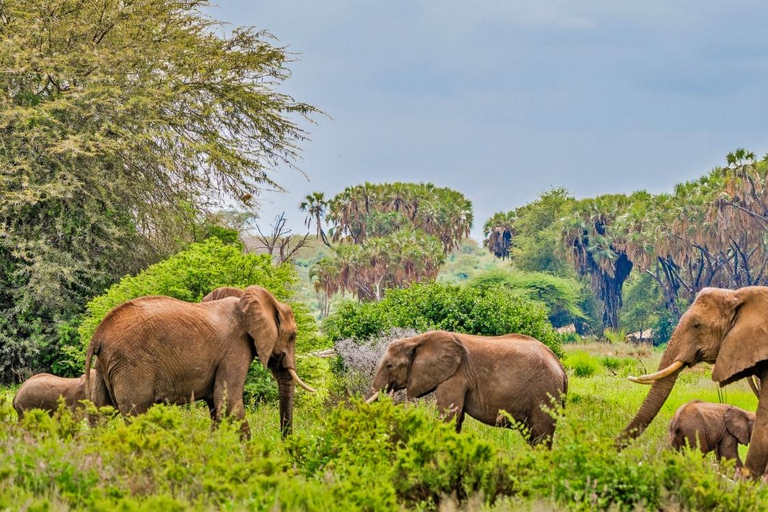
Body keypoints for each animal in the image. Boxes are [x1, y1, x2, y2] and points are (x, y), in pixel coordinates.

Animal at [88, 284, 316, 436]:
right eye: (293, 336)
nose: (285, 445)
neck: (245, 299)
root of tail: (98, 334)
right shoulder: (235, 348)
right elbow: (228, 402)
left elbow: (216, 406)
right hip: (131, 365)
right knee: (137, 414)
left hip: (104, 368)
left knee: (99, 414)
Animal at [368, 330, 568, 446]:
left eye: (389, 366)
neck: (416, 340)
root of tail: (561, 367)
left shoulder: (456, 376)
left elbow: (449, 416)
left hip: (544, 392)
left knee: (540, 437)